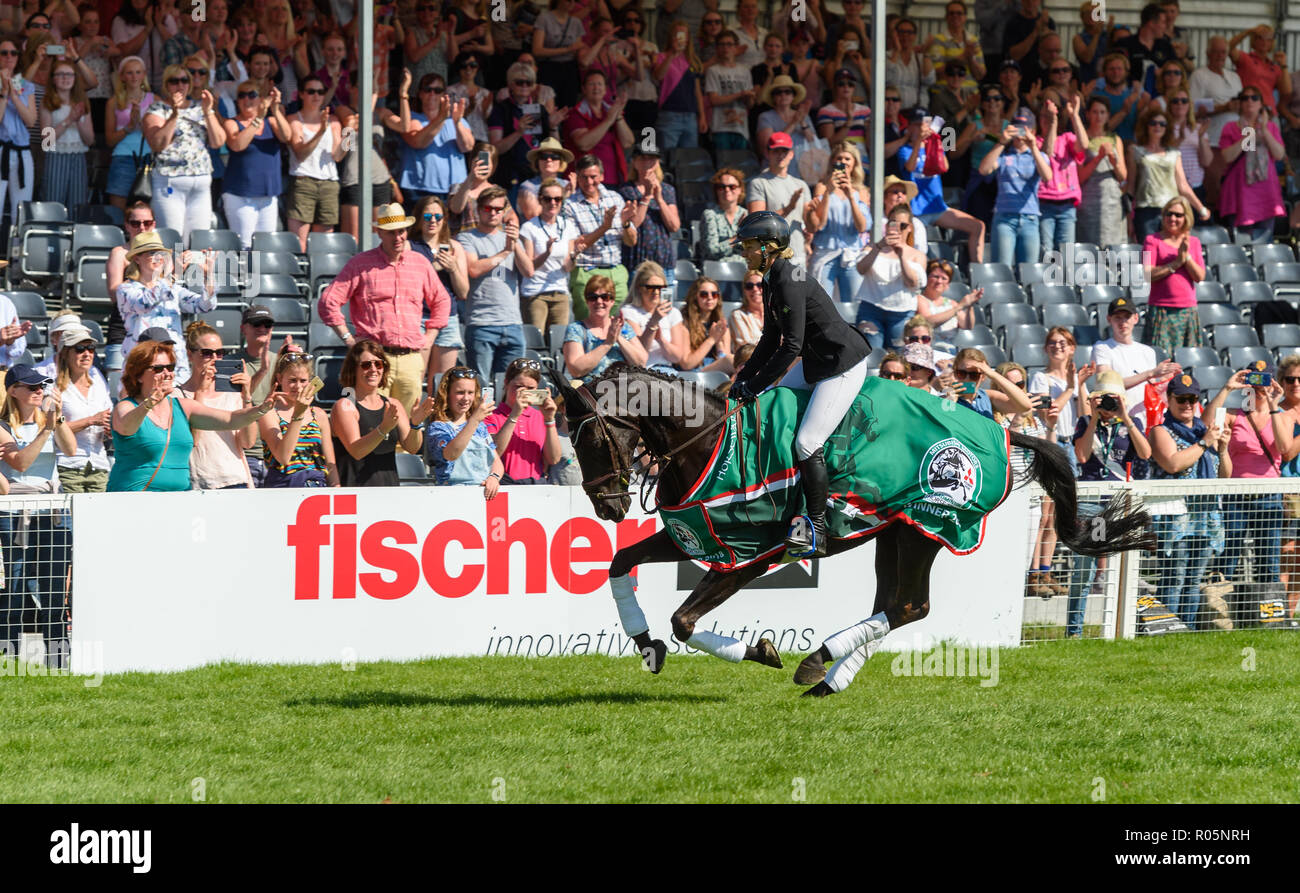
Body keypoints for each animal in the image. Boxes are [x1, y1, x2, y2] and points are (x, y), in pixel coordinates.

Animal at [553, 363, 1154, 696]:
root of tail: (1003, 433)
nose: (607, 506)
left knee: (909, 606)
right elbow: (619, 565)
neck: (708, 444)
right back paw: (826, 677)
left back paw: (817, 664)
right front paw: (644, 644)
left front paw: (762, 651)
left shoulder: (748, 557)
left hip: (921, 529)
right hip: (893, 534)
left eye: (592, 436)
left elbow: (683, 620)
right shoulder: (697, 538)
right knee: (897, 605)